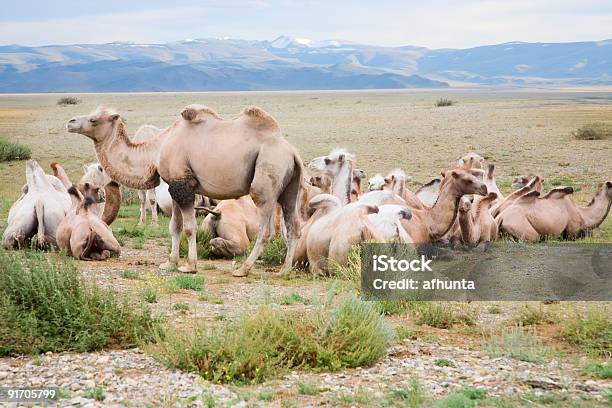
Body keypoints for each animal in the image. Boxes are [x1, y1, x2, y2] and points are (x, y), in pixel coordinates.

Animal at [67, 105, 304, 278]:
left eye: (94, 119)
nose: (70, 122)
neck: (156, 149)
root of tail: (292, 151)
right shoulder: (174, 185)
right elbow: (175, 226)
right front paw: (169, 263)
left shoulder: (184, 184)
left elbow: (189, 228)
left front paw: (190, 266)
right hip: (290, 187)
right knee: (293, 226)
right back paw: (284, 270)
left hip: (266, 178)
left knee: (266, 229)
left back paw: (243, 269)